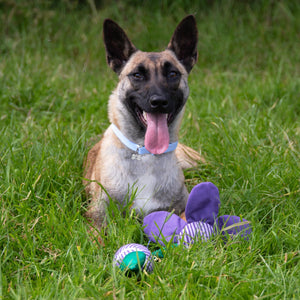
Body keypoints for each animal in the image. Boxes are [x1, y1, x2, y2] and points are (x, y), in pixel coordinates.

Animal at [83, 15, 203, 230]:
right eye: (137, 75)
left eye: (173, 74)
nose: (159, 102)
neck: (145, 153)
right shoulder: (97, 216)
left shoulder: (181, 207)